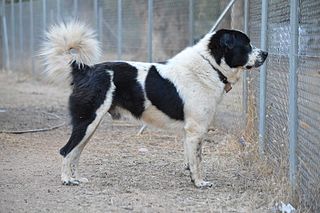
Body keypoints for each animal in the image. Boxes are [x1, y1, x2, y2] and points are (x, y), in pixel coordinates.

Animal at [41, 21, 266, 188]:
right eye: (246, 45)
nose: (265, 53)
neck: (209, 65)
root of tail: (84, 70)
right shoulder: (196, 129)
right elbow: (198, 161)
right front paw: (199, 183)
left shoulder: (189, 132)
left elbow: (190, 159)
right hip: (87, 121)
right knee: (66, 150)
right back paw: (67, 180)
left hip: (90, 125)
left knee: (75, 152)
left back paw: (76, 178)